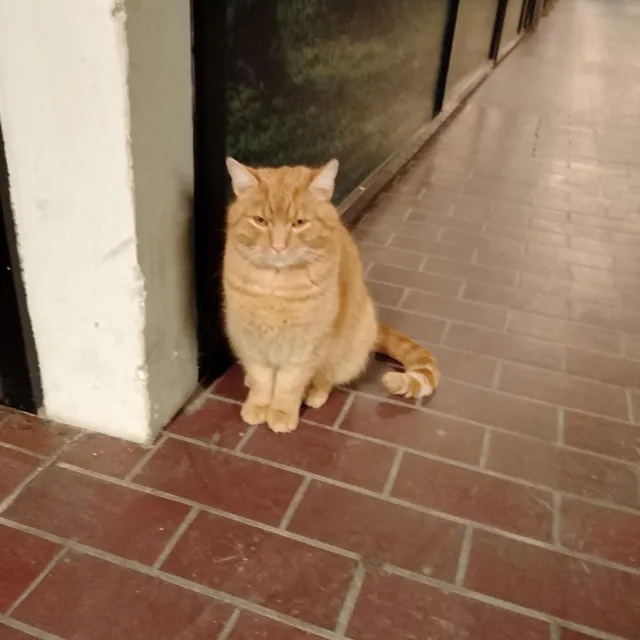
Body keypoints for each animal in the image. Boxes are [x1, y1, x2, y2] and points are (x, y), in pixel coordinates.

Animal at [221, 158, 440, 432]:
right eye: (260, 221)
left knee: (327, 378)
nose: (278, 247)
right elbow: (262, 378)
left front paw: (281, 412)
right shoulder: (249, 339)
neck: (276, 285)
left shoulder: (306, 346)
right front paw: (258, 404)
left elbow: (288, 384)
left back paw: (314, 394)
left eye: (299, 223)